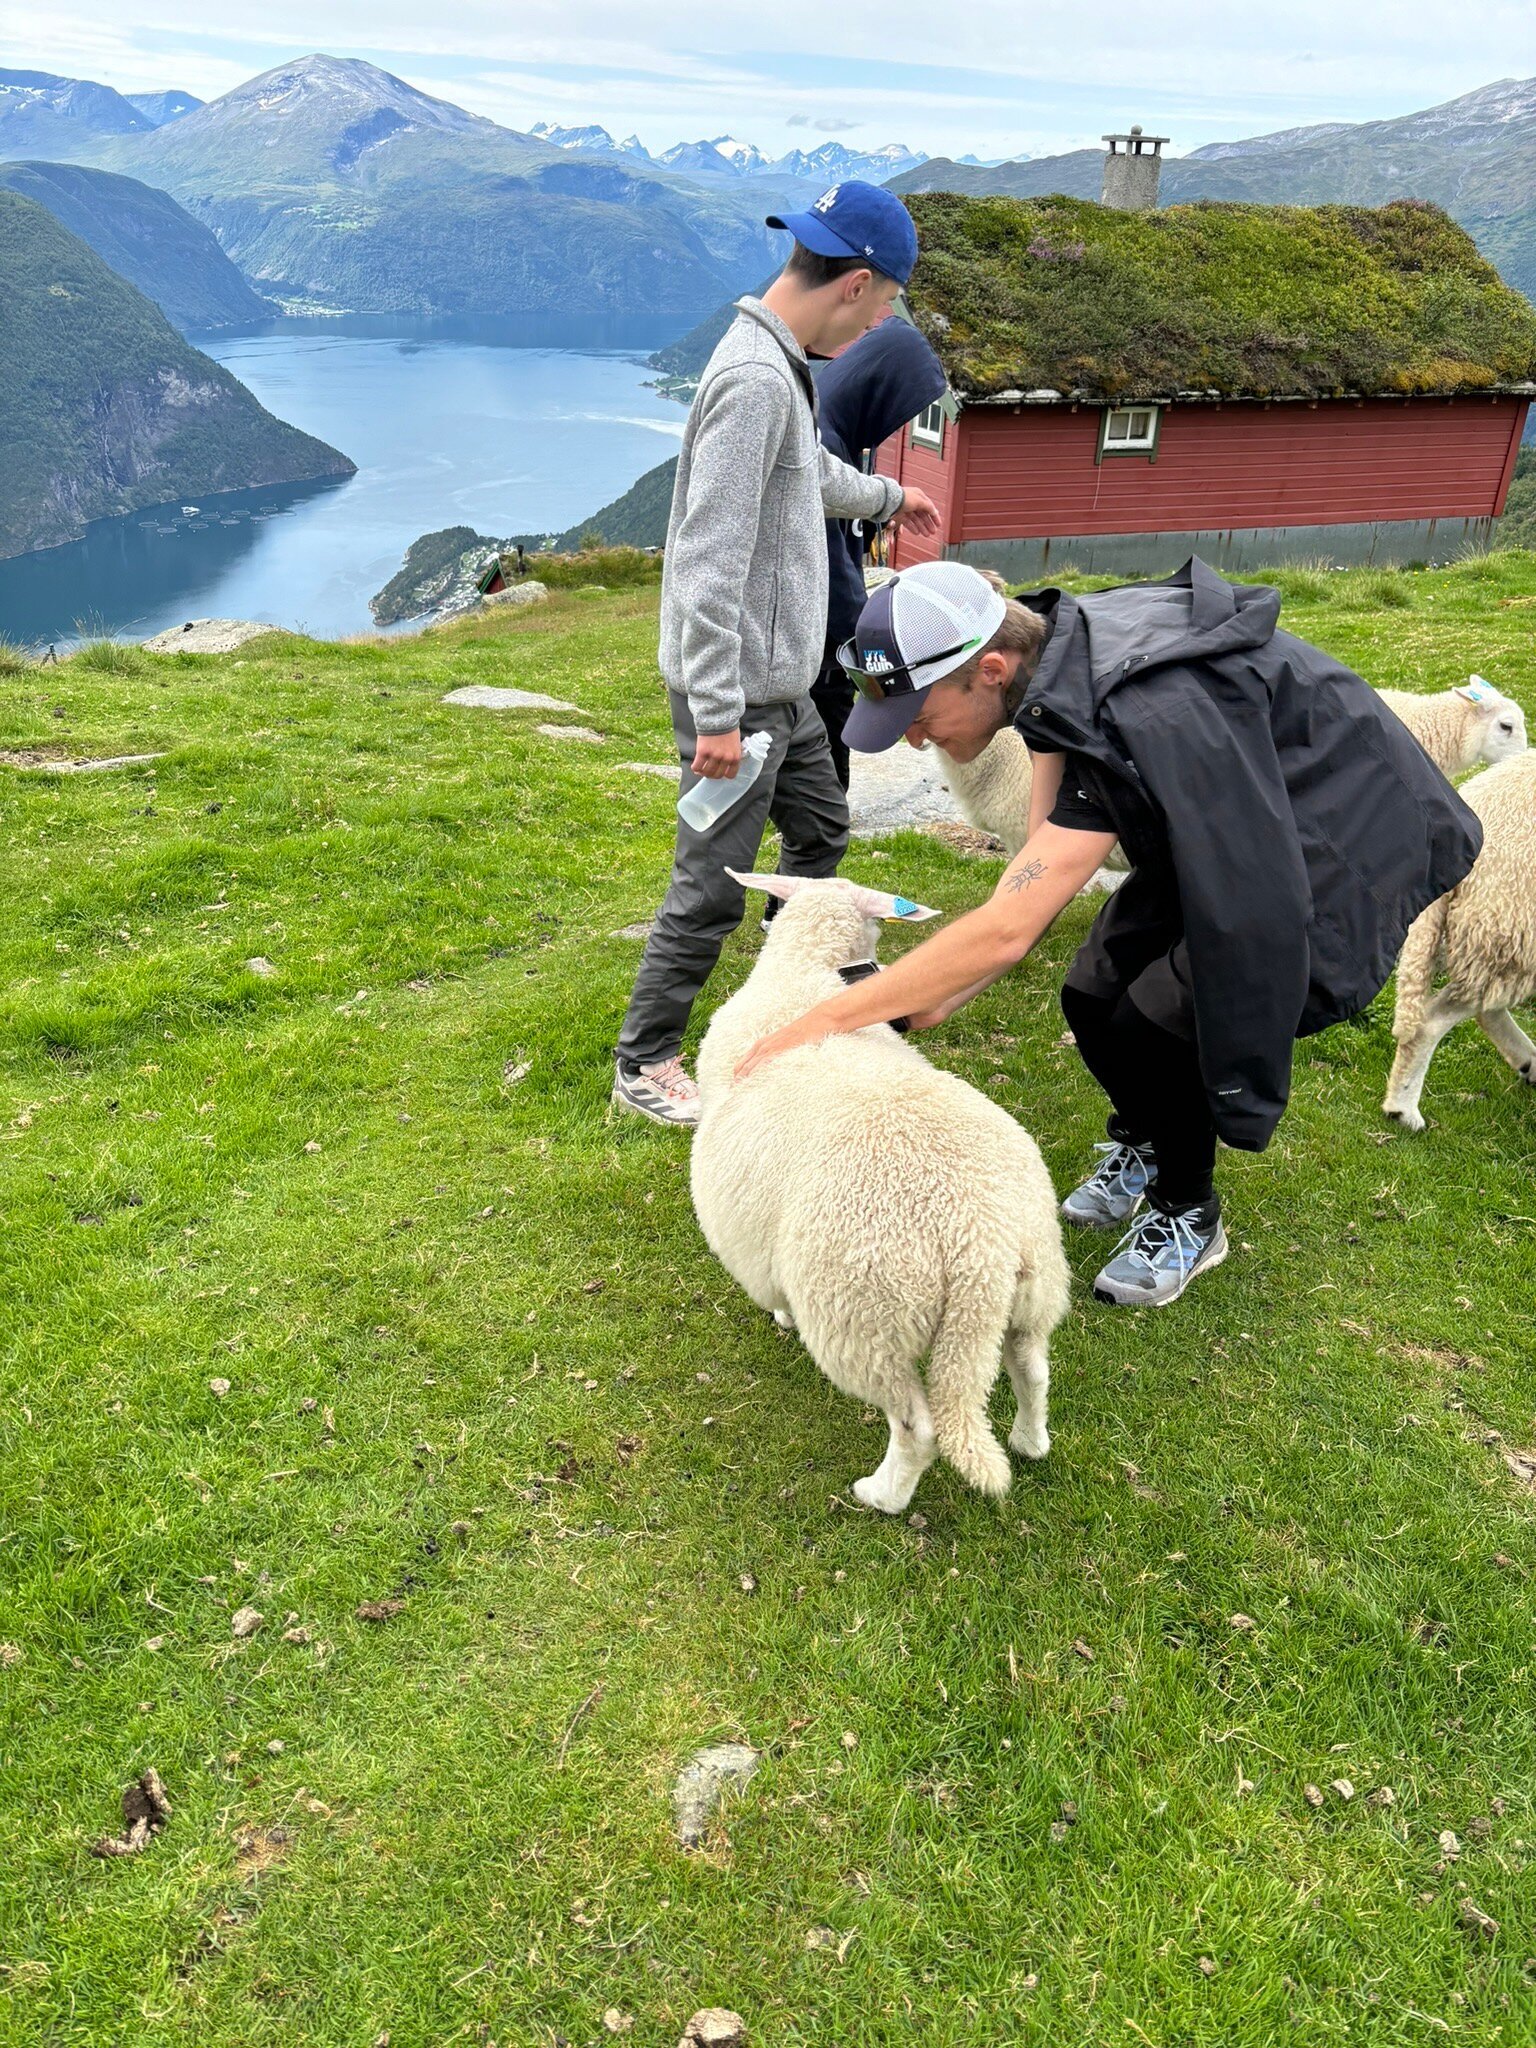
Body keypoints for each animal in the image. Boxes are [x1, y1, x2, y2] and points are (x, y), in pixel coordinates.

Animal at [696, 872, 1073, 1515]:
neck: (804, 973)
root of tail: (981, 1244)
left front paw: (780, 1314)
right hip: (1034, 1285)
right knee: (1033, 1369)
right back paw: (1030, 1441)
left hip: (866, 1319)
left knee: (917, 1428)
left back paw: (881, 1495)